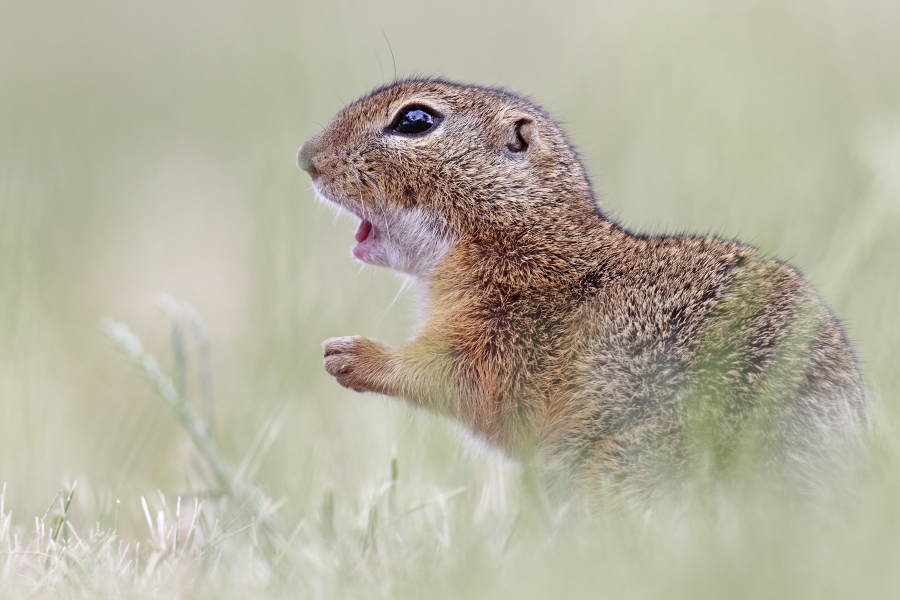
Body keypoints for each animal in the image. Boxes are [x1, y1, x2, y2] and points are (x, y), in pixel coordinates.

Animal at [298, 78, 868, 508]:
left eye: (415, 121)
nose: (306, 156)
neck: (519, 232)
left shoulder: (508, 330)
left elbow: (453, 378)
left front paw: (353, 355)